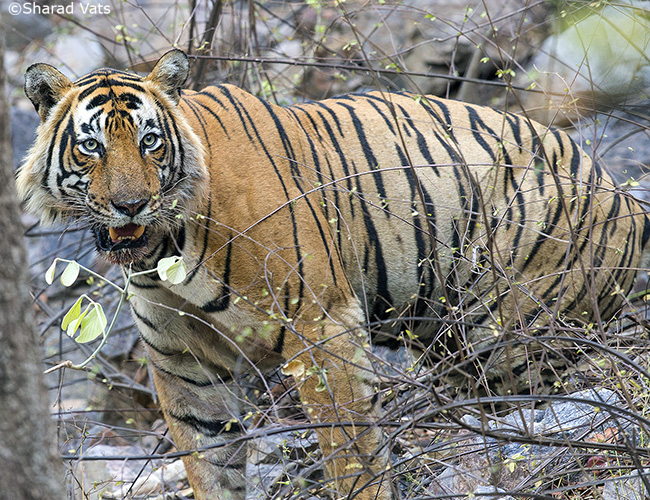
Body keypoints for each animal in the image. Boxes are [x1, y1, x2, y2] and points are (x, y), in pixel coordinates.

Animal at [16, 50, 648, 500]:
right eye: (92, 148)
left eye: (150, 142)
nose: (131, 205)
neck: (166, 253)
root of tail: (626, 195)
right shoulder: (184, 364)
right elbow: (210, 464)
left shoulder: (321, 325)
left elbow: (351, 449)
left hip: (512, 334)